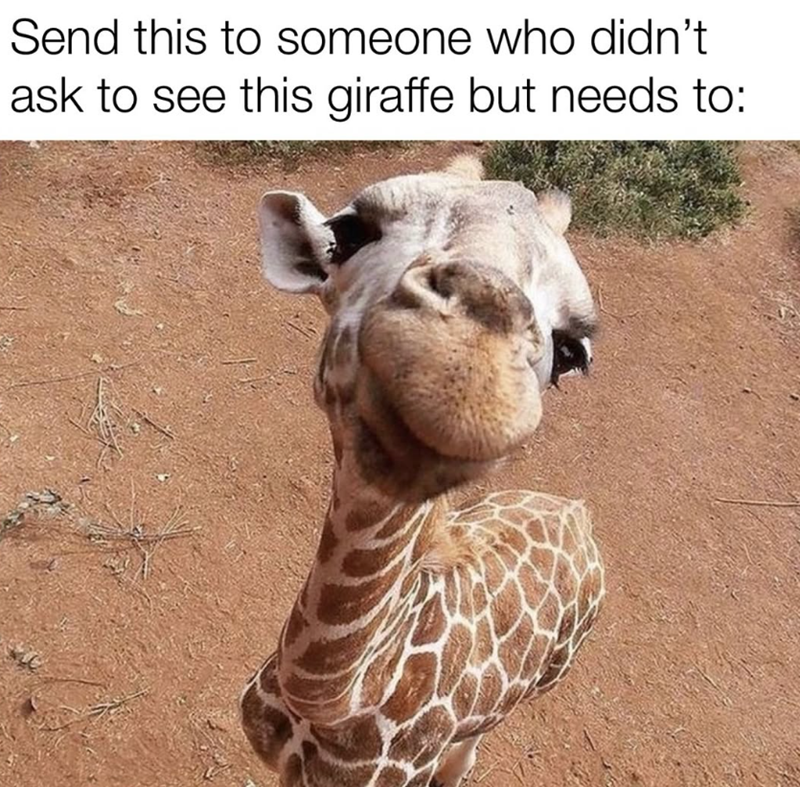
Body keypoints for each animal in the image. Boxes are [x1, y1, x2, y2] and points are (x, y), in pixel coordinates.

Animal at [240, 156, 605, 787]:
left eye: (570, 351)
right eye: (348, 233)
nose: (463, 373)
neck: (333, 699)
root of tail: (578, 514)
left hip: (547, 678)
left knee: (473, 745)